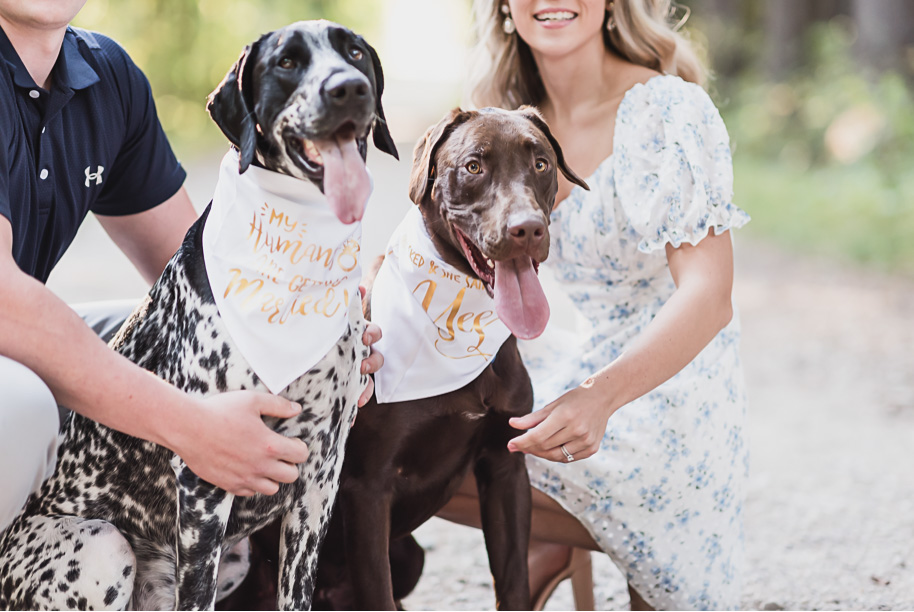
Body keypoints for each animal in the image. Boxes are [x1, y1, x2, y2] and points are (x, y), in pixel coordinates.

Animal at [0, 21, 400, 608]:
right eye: (286, 62)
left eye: (353, 52)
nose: (348, 88)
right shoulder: (206, 483)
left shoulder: (319, 479)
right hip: (102, 545)